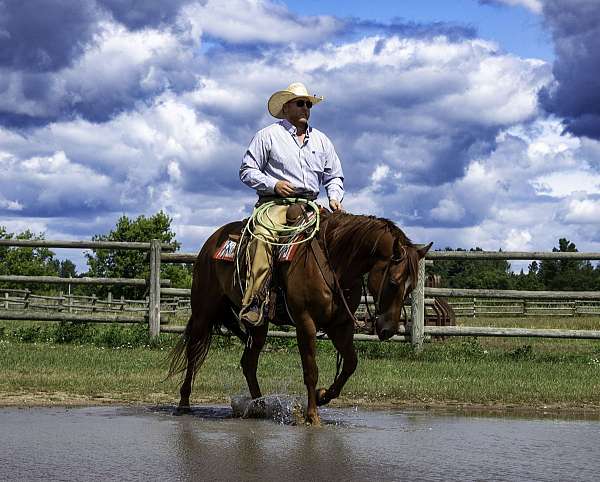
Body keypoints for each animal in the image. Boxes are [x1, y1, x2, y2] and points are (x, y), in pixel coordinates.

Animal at [169, 211, 432, 426]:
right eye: (393, 283)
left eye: (412, 288)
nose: (388, 330)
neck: (334, 261)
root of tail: (212, 241)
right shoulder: (305, 322)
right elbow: (311, 370)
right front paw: (312, 416)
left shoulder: (340, 326)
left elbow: (350, 363)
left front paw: (323, 396)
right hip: (203, 311)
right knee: (194, 353)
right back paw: (184, 403)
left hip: (259, 325)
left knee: (248, 363)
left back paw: (260, 406)